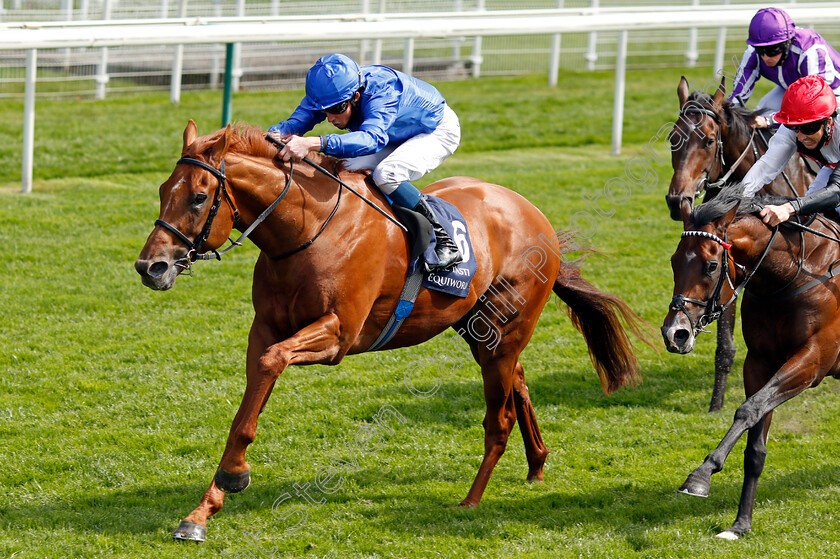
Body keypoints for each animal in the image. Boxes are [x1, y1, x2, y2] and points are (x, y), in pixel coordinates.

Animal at [135, 120, 648, 544]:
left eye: (199, 196)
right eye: (161, 190)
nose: (150, 267)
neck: (305, 230)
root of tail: (535, 214)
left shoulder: (338, 335)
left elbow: (271, 363)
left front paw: (232, 479)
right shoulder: (264, 330)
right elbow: (247, 405)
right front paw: (205, 508)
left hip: (503, 331)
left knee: (497, 418)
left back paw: (472, 498)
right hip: (481, 328)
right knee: (518, 382)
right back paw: (537, 463)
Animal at [664, 188, 840, 544]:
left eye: (711, 265)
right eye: (674, 261)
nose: (675, 333)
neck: (793, 275)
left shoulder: (814, 360)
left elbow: (748, 409)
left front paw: (700, 476)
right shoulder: (760, 362)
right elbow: (754, 438)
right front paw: (740, 524)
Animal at [668, 76, 812, 414]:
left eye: (709, 140)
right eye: (672, 139)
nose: (675, 200)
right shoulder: (731, 270)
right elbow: (725, 344)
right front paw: (715, 404)